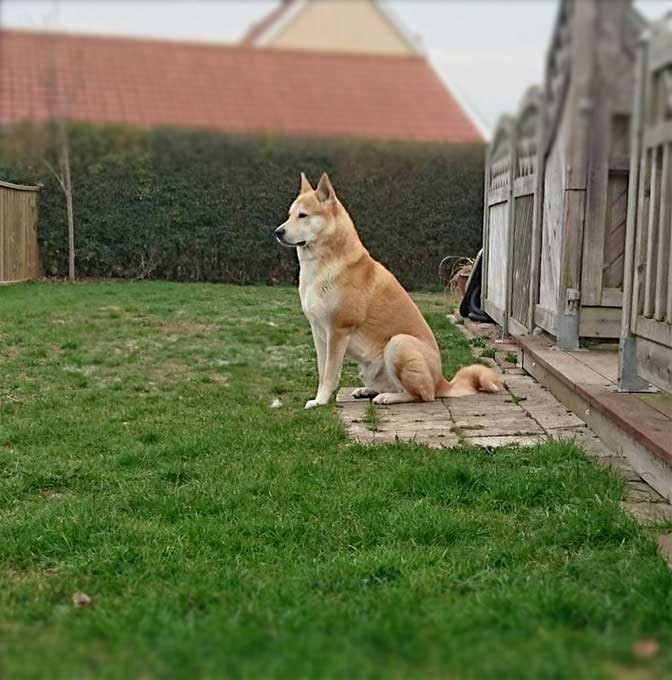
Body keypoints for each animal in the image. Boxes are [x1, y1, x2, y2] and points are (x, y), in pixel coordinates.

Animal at [274, 174, 504, 410]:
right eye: (290, 215)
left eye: (303, 215)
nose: (278, 232)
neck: (325, 264)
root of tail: (442, 382)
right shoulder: (319, 333)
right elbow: (322, 371)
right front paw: (321, 397)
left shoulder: (338, 331)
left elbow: (330, 373)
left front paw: (320, 400)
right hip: (371, 367)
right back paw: (368, 390)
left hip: (398, 343)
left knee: (421, 395)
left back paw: (387, 397)